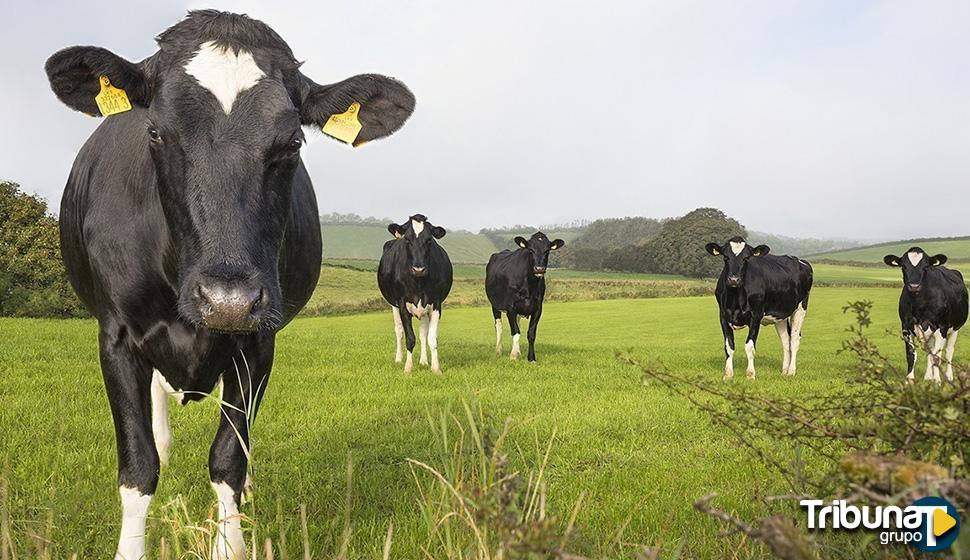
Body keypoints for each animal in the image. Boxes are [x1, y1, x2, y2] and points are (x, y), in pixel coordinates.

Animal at [42, 9, 412, 560]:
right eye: (155, 132)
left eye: (293, 142)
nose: (227, 301)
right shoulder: (117, 337)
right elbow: (138, 465)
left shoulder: (258, 341)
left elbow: (228, 457)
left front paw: (230, 539)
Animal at [378, 214, 454, 372]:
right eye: (407, 239)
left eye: (429, 240)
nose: (419, 269)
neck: (419, 283)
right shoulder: (402, 304)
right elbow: (410, 338)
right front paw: (408, 367)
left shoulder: (436, 303)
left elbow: (431, 338)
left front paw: (436, 368)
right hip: (393, 305)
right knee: (399, 331)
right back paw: (399, 359)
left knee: (423, 334)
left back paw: (424, 361)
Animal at [704, 236, 808, 380]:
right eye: (725, 257)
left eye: (746, 258)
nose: (734, 280)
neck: (735, 299)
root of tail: (799, 260)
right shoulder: (723, 316)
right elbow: (729, 346)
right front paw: (728, 375)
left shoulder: (756, 316)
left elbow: (749, 346)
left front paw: (750, 374)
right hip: (780, 316)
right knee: (786, 341)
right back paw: (784, 371)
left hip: (800, 308)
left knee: (794, 339)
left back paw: (791, 371)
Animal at [880, 248, 964, 382]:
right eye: (903, 266)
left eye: (925, 267)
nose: (914, 286)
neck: (919, 304)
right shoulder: (906, 326)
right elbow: (911, 354)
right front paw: (910, 380)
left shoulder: (942, 327)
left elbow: (937, 356)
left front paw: (937, 381)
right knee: (930, 352)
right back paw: (927, 377)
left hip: (955, 328)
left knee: (948, 351)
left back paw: (949, 376)